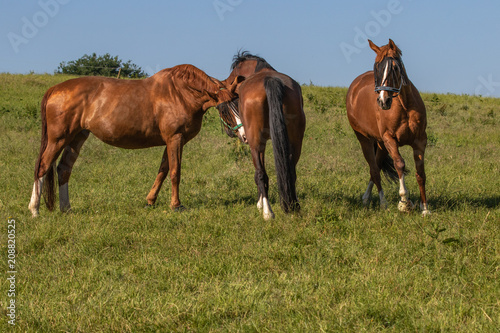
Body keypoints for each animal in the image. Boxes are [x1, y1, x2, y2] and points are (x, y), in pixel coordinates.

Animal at [28, 63, 243, 217]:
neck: (181, 93)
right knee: (43, 167)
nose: (243, 135)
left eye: (238, 103)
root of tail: (54, 89)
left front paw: (150, 201)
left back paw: (66, 208)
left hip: (77, 137)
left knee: (64, 169)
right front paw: (176, 205)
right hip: (58, 138)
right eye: (224, 109)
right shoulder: (175, 138)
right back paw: (34, 209)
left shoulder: (171, 141)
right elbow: (175, 172)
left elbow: (163, 170)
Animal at [216, 50, 304, 219]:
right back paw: (293, 206)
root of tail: (271, 80)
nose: (241, 136)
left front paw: (260, 204)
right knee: (291, 171)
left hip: (255, 143)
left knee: (260, 174)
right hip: (295, 142)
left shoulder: (256, 143)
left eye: (222, 109)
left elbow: (259, 174)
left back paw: (267, 213)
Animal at [348, 39, 430, 215]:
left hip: (380, 144)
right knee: (374, 170)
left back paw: (366, 198)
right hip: (365, 140)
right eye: (376, 67)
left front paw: (425, 208)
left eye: (395, 67)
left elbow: (420, 173)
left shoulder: (420, 141)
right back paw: (383, 203)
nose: (383, 101)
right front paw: (404, 202)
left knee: (377, 167)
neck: (405, 106)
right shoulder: (390, 140)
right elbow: (400, 165)